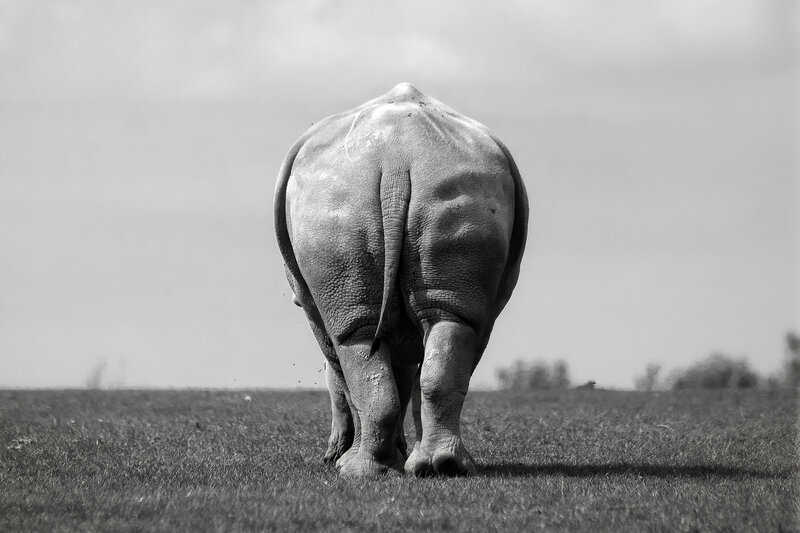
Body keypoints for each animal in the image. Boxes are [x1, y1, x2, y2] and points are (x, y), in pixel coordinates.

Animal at [274, 83, 528, 476]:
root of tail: (396, 158)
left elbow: (340, 379)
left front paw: (337, 457)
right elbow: (401, 373)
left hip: (337, 205)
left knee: (355, 339)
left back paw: (362, 470)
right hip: (460, 190)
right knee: (450, 323)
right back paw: (440, 466)